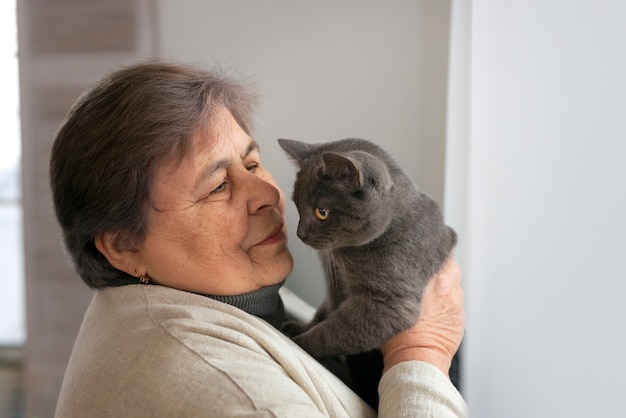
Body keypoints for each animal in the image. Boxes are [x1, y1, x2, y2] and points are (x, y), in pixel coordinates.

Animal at [276, 138, 454, 360]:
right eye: (297, 204)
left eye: (322, 212)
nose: (301, 234)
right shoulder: (335, 282)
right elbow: (327, 309)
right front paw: (300, 327)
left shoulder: (388, 303)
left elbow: (336, 332)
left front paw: (298, 342)